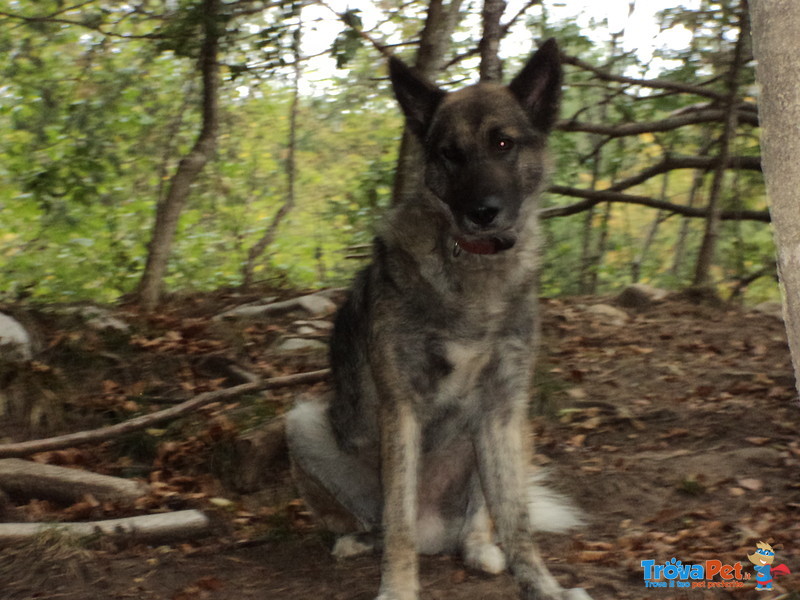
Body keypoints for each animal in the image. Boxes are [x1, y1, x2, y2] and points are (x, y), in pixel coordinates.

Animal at [286, 38, 588, 600]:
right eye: (449, 152)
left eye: (503, 143)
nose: (482, 212)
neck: (471, 263)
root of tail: (438, 535)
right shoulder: (401, 408)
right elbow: (399, 520)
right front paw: (398, 589)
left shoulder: (502, 409)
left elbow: (516, 520)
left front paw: (543, 585)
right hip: (303, 422)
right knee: (378, 522)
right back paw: (358, 541)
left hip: (517, 434)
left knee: (481, 520)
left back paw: (479, 549)